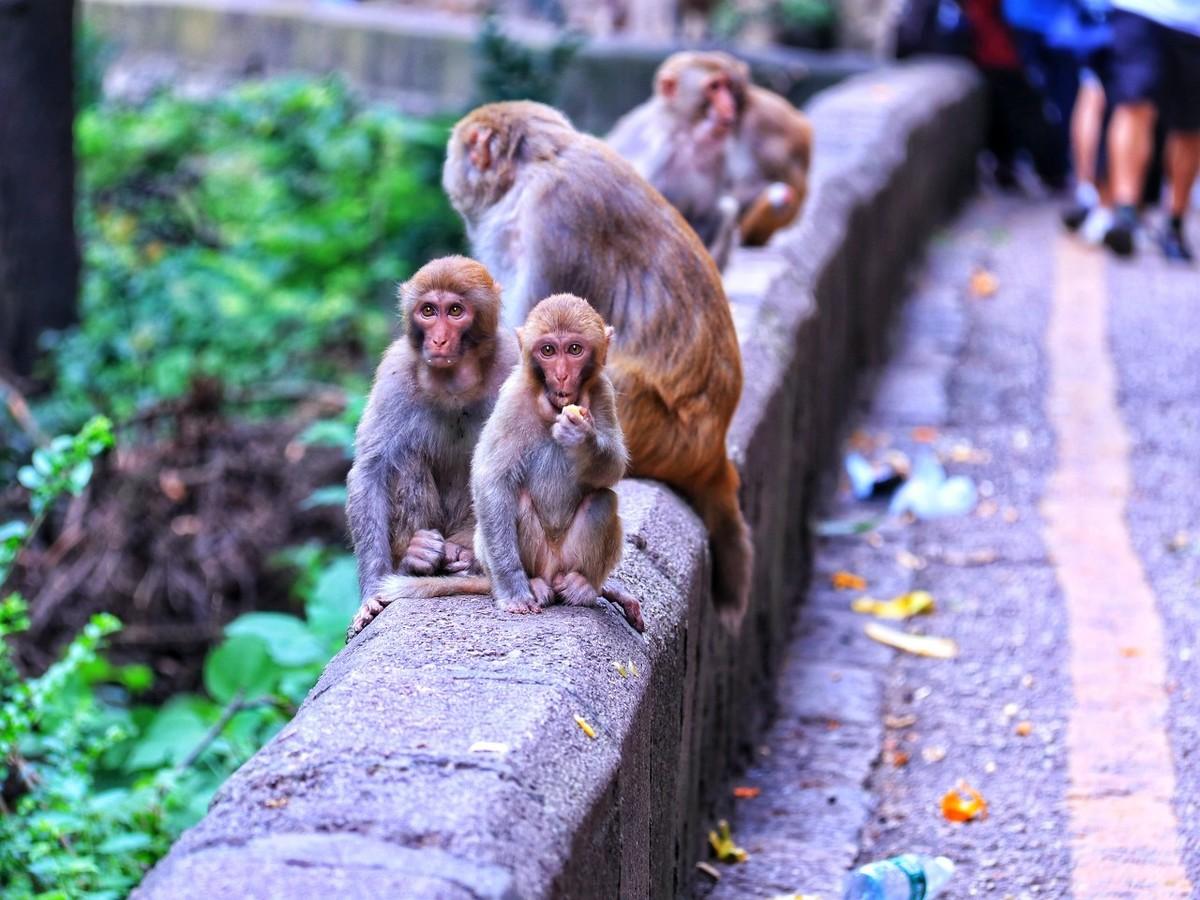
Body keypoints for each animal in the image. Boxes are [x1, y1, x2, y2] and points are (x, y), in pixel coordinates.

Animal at [345, 256, 518, 643]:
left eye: (455, 311)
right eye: (428, 311)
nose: (438, 339)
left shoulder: (515, 362)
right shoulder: (394, 371)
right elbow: (370, 470)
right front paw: (370, 595)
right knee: (404, 457)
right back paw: (417, 557)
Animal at [376, 296, 643, 633]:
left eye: (574, 350)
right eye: (548, 351)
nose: (562, 376)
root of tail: (552, 571)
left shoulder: (603, 391)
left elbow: (613, 468)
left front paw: (582, 437)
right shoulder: (512, 399)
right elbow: (491, 483)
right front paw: (515, 591)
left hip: (566, 558)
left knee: (603, 500)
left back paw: (582, 586)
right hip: (536, 558)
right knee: (515, 502)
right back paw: (534, 585)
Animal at [609, 51, 739, 270]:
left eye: (727, 85)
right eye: (714, 87)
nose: (730, 105)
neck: (684, 132)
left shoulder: (720, 155)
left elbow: (707, 215)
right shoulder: (659, 150)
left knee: (727, 211)